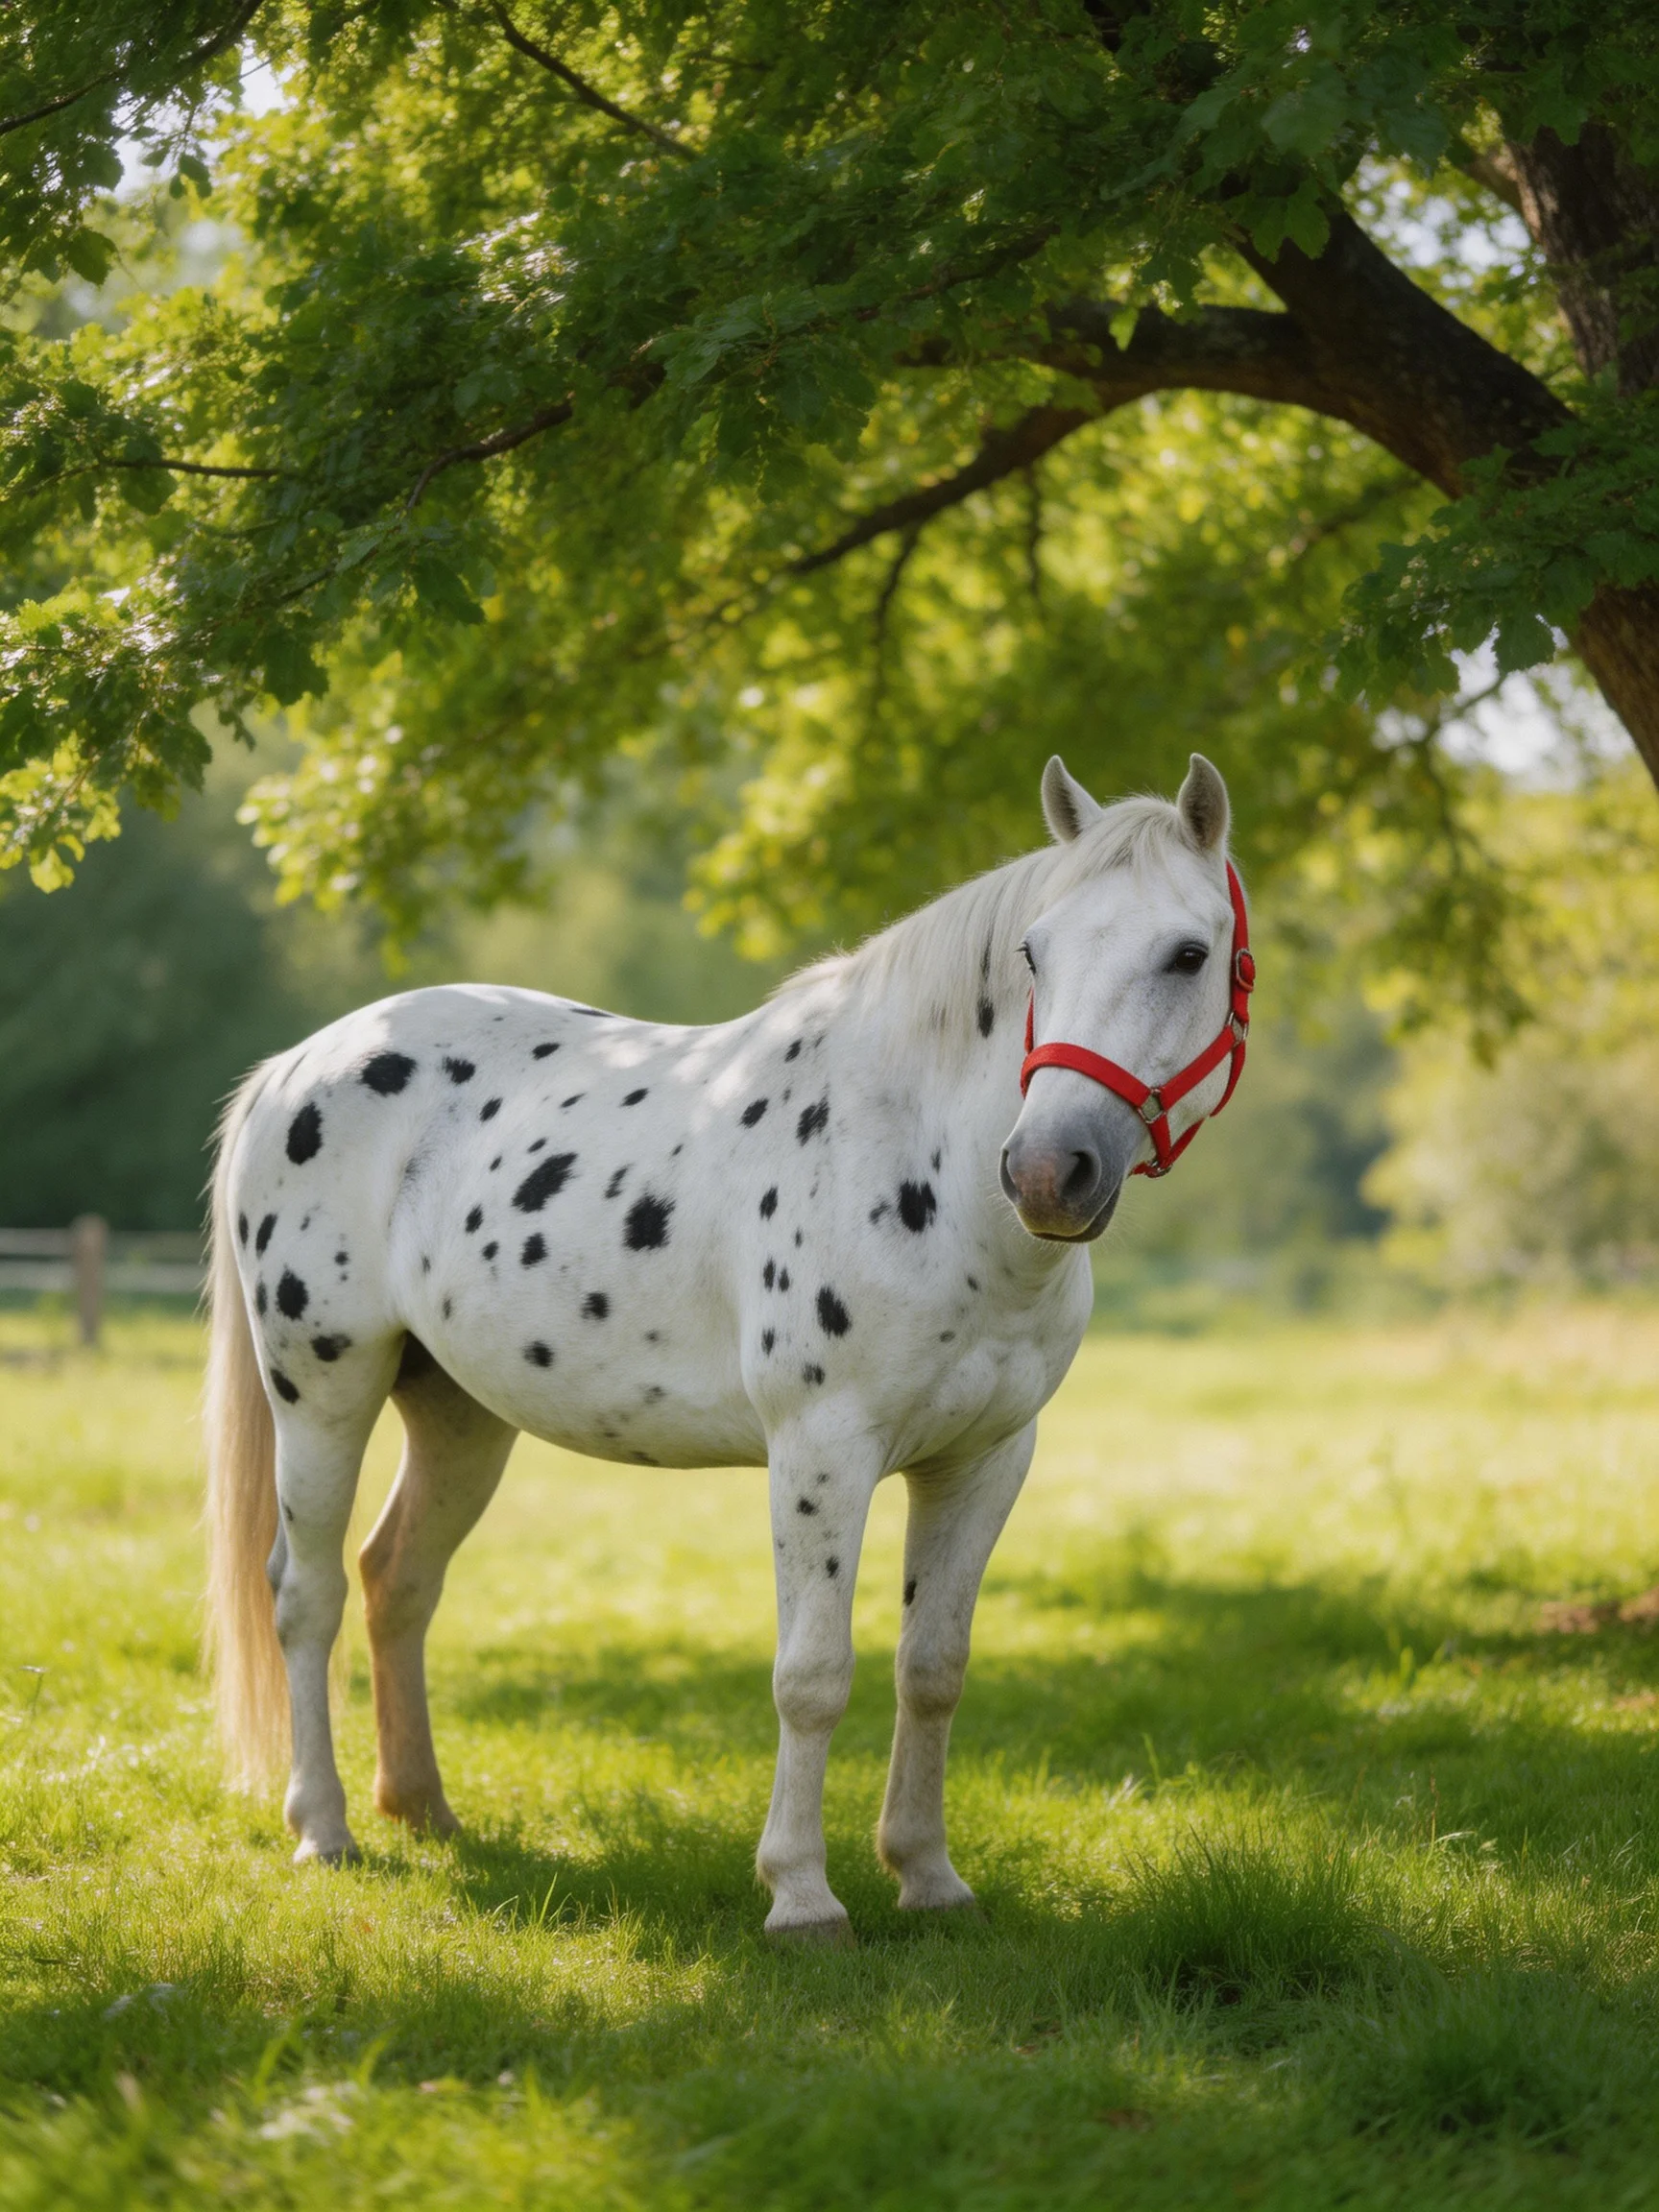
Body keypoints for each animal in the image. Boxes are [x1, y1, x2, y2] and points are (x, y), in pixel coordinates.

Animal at [204, 752, 1251, 1941]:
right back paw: (325, 1829)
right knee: (306, 1593)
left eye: (1188, 953)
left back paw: (422, 1808)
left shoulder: (985, 1461)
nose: (1045, 1171)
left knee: (398, 1578)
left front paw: (928, 1877)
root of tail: (301, 1062)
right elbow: (813, 1675)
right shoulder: (821, 1454)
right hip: (322, 1390)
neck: (918, 1161)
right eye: (1035, 952)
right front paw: (801, 1895)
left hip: (461, 1414)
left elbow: (933, 1669)